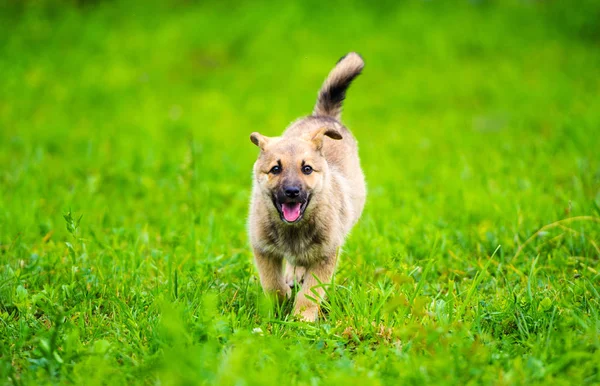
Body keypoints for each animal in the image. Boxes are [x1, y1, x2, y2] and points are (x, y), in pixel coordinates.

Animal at [248, 52, 366, 322]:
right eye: (276, 169)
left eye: (307, 169)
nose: (292, 192)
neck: (293, 231)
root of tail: (324, 116)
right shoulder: (263, 250)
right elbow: (273, 284)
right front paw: (280, 304)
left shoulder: (326, 254)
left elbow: (311, 292)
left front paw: (301, 319)